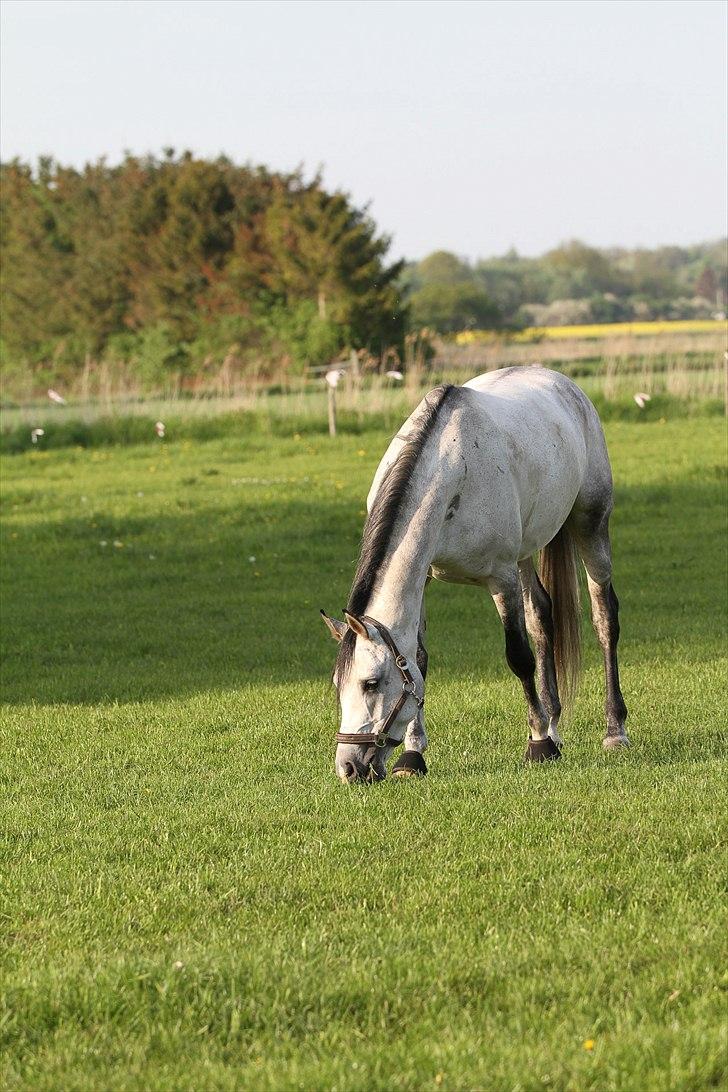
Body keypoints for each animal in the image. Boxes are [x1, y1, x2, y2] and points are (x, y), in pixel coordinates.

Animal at [320, 369, 628, 786]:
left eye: (371, 683)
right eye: (339, 685)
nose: (349, 768)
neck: (451, 469)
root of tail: (561, 382)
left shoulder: (501, 579)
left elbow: (519, 657)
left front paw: (537, 745)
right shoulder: (425, 579)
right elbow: (419, 659)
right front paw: (412, 756)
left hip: (590, 524)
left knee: (604, 617)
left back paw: (613, 730)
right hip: (526, 554)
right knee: (542, 617)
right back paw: (554, 725)